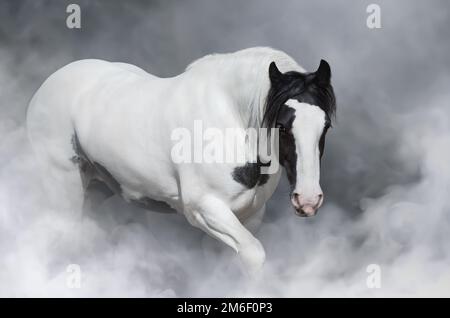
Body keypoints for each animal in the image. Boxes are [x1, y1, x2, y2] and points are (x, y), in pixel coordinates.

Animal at [24, 47, 334, 274]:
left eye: (326, 125)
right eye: (281, 126)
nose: (308, 200)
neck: (230, 118)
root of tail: (48, 85)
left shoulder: (251, 216)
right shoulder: (204, 209)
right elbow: (254, 254)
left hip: (95, 187)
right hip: (63, 188)